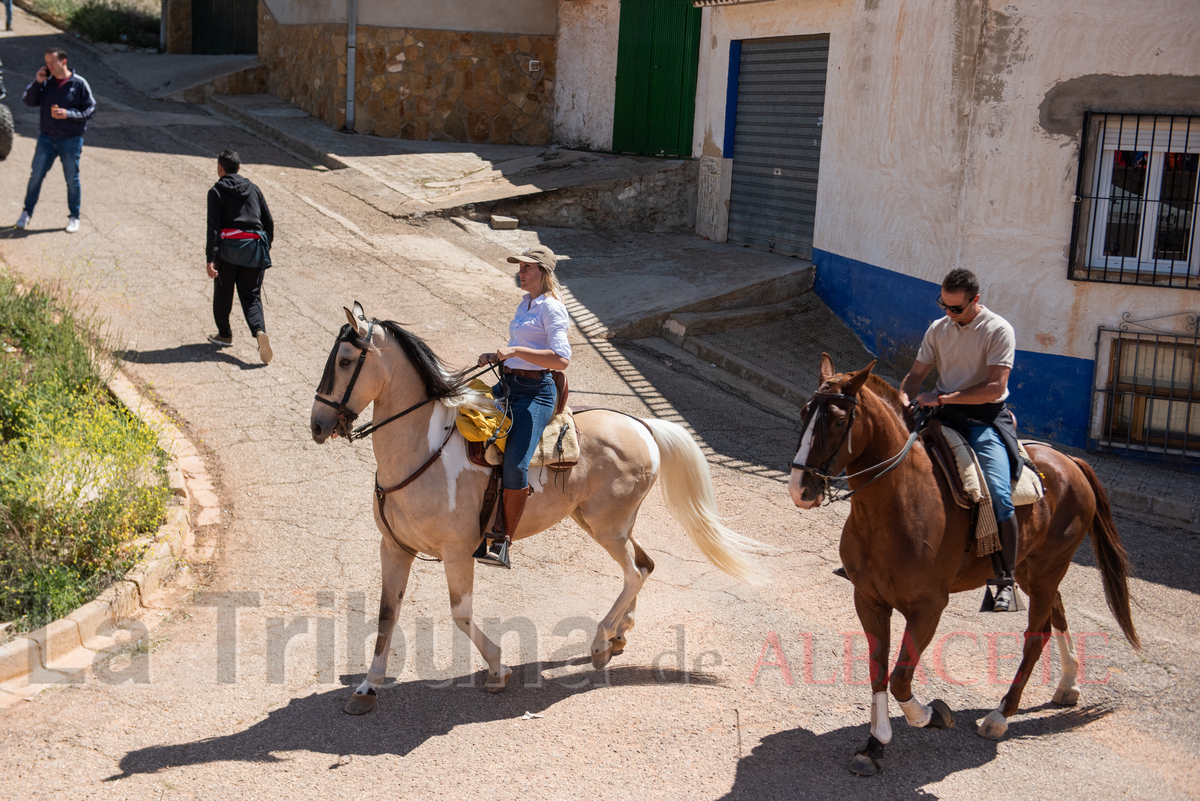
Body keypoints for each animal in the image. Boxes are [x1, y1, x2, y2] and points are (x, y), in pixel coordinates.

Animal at [309, 304, 758, 714]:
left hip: (606, 527)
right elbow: (387, 614)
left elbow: (460, 614)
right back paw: (619, 633)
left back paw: (599, 642)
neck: (424, 452)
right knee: (644, 565)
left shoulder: (457, 553)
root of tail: (642, 426)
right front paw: (367, 687)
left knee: (633, 572)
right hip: (603, 522)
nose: (317, 425)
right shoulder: (394, 548)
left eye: (345, 361)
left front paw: (497, 669)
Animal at [787, 352, 1132, 772]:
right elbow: (878, 670)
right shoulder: (868, 600)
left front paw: (933, 715)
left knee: (1037, 636)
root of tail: (1070, 461)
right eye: (805, 412)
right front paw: (874, 743)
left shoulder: (928, 608)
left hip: (1048, 568)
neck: (896, 505)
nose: (800, 488)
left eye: (838, 421)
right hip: (1032, 569)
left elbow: (901, 677)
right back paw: (1068, 684)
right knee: (1058, 612)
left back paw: (1001, 716)